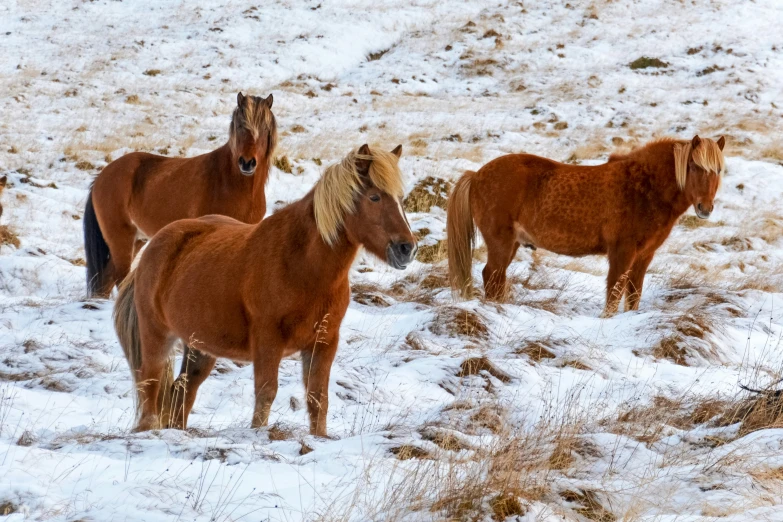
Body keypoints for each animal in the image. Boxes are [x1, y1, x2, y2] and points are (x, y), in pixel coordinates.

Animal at [83, 93, 276, 296]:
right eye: (240, 126)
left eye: (264, 128)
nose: (247, 162)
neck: (230, 181)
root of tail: (100, 177)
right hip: (121, 240)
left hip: (136, 240)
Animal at [114, 143, 420, 434]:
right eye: (374, 197)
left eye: (401, 198)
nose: (407, 248)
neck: (302, 266)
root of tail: (153, 246)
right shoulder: (268, 340)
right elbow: (266, 392)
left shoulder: (324, 342)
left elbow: (318, 398)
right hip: (156, 335)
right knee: (150, 384)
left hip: (199, 346)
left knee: (182, 390)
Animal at [450, 134, 724, 314]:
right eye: (693, 166)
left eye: (719, 170)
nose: (705, 208)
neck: (643, 187)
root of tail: (476, 175)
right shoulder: (622, 253)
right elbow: (613, 294)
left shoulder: (644, 256)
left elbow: (633, 296)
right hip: (501, 243)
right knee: (492, 277)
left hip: (512, 244)